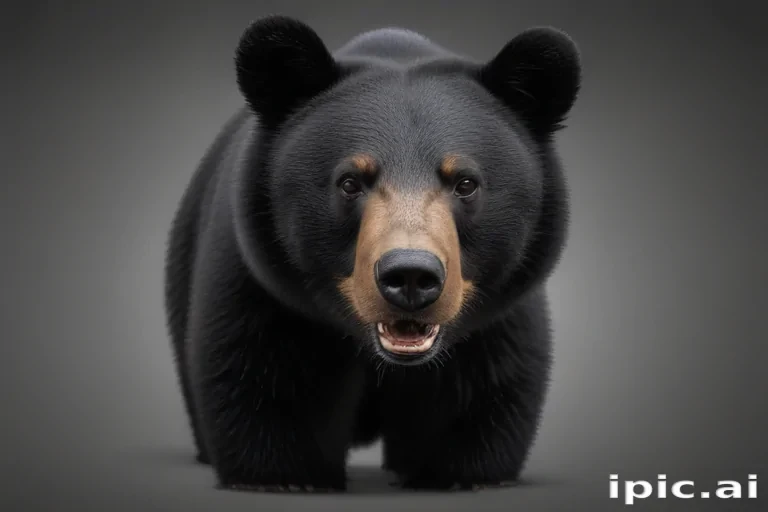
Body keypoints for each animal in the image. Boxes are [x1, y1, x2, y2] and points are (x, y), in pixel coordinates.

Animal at [163, 15, 580, 492]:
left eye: (465, 183)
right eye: (350, 182)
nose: (411, 276)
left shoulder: (496, 321)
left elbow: (479, 391)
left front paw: (462, 475)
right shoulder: (264, 293)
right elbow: (261, 375)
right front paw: (282, 477)